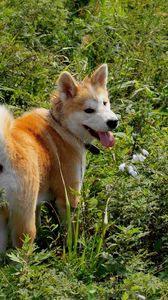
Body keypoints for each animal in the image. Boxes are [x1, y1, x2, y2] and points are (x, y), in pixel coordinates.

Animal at [0, 64, 118, 252]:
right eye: (89, 110)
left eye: (105, 103)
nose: (114, 122)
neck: (61, 127)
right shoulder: (68, 198)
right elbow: (72, 231)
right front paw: (74, 250)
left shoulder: (39, 199)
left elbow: (40, 216)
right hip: (24, 223)